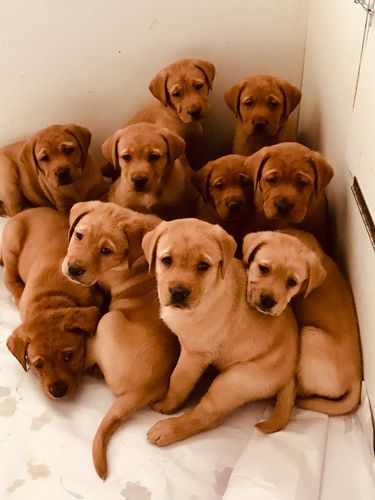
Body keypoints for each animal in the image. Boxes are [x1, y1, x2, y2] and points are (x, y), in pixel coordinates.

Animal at [2, 207, 104, 398]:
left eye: (68, 356)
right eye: (38, 365)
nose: (58, 392)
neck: (50, 300)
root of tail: (23, 212)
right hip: (11, 245)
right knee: (9, 278)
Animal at [142, 219, 300, 446]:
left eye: (203, 266)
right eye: (166, 260)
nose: (179, 293)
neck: (209, 292)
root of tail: (290, 376)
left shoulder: (194, 354)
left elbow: (178, 380)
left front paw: (168, 404)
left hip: (233, 381)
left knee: (209, 415)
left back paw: (168, 429)